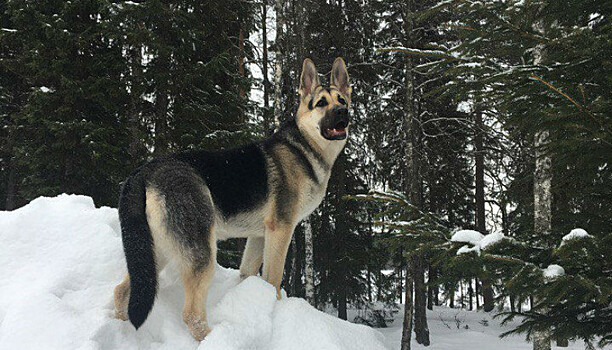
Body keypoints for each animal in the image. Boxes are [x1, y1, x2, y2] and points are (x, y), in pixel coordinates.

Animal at [113, 56, 352, 340]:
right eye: (322, 103)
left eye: (342, 100)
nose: (343, 113)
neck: (305, 148)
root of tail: (144, 171)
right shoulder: (281, 230)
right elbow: (273, 280)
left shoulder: (259, 236)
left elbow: (248, 273)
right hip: (201, 253)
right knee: (192, 314)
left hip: (155, 251)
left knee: (122, 292)